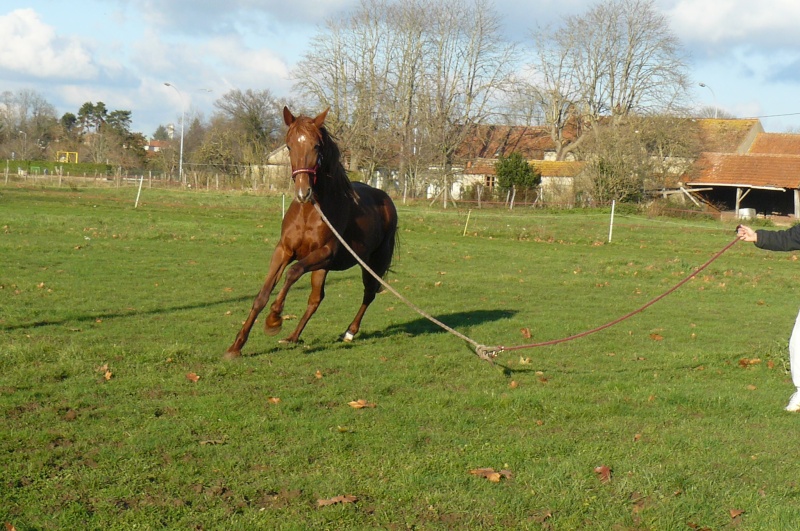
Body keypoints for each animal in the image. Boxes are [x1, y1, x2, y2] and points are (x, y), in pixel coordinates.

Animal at [223, 106, 398, 360]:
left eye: (316, 146)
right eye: (289, 146)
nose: (303, 192)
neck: (310, 211)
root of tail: (386, 200)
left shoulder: (324, 253)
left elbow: (293, 272)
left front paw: (274, 319)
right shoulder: (284, 251)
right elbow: (262, 296)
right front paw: (236, 346)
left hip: (372, 264)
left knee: (369, 293)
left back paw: (349, 332)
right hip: (323, 268)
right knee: (316, 299)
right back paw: (293, 337)